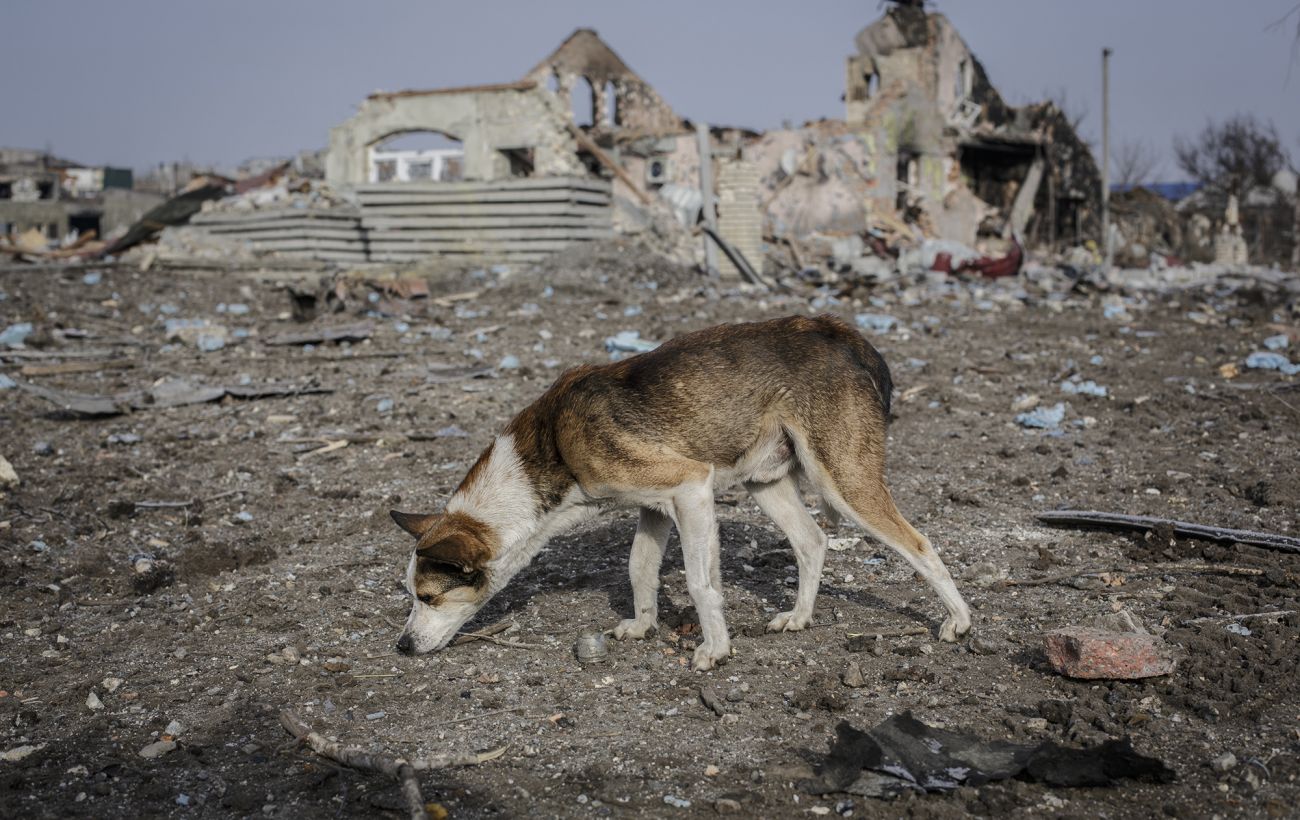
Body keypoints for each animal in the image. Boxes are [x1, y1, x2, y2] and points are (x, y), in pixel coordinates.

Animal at [390, 314, 972, 665]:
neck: (549, 450)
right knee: (812, 541)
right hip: (766, 483)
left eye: (429, 597)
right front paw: (645, 627)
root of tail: (840, 332)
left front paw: (714, 651)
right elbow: (641, 570)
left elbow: (699, 582)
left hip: (845, 481)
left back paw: (959, 622)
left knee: (921, 546)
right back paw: (800, 617)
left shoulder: (690, 487)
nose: (402, 646)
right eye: (410, 596)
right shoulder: (657, 508)